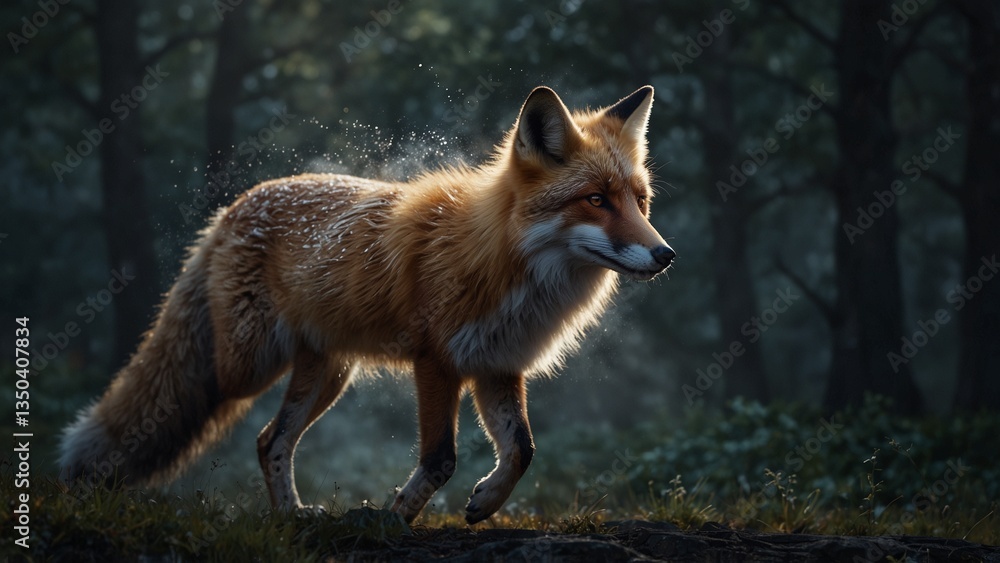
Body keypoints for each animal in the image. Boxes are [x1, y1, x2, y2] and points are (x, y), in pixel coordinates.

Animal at [59, 85, 675, 524]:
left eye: (639, 201)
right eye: (595, 200)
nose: (665, 255)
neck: (505, 263)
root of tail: (233, 207)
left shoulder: (498, 365)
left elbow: (521, 451)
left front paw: (485, 502)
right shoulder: (437, 362)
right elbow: (440, 459)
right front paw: (396, 516)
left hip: (329, 373)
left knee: (270, 441)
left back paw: (290, 517)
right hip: (249, 364)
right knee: (198, 388)